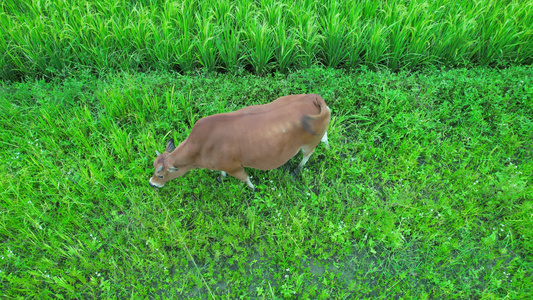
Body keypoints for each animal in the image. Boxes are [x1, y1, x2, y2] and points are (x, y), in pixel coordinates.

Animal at [149, 94, 328, 190]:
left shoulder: (234, 166)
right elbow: (222, 173)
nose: (151, 183)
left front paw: (253, 189)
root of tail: (314, 97)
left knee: (307, 155)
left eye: (160, 174)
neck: (200, 149)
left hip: (308, 144)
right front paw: (221, 178)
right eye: (154, 166)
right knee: (325, 138)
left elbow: (245, 179)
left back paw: (297, 169)